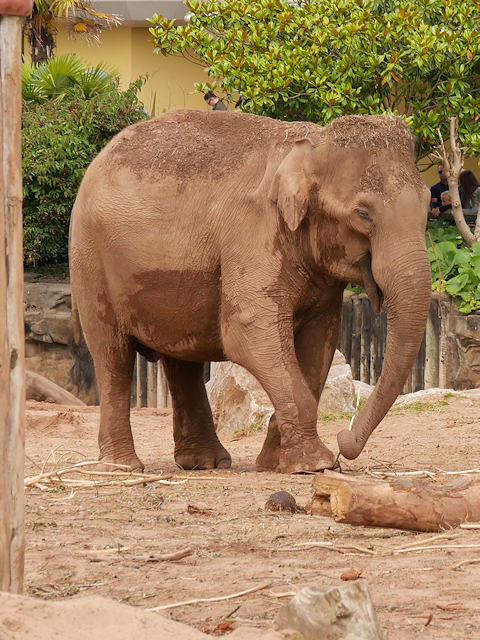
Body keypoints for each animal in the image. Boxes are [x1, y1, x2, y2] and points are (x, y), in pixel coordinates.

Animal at [69, 107, 434, 472]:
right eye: (363, 214)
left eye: (429, 203)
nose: (345, 442)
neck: (310, 144)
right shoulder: (252, 235)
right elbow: (248, 334)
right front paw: (317, 464)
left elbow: (320, 344)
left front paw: (276, 464)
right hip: (90, 260)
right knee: (112, 355)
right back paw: (123, 467)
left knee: (182, 360)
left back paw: (206, 463)